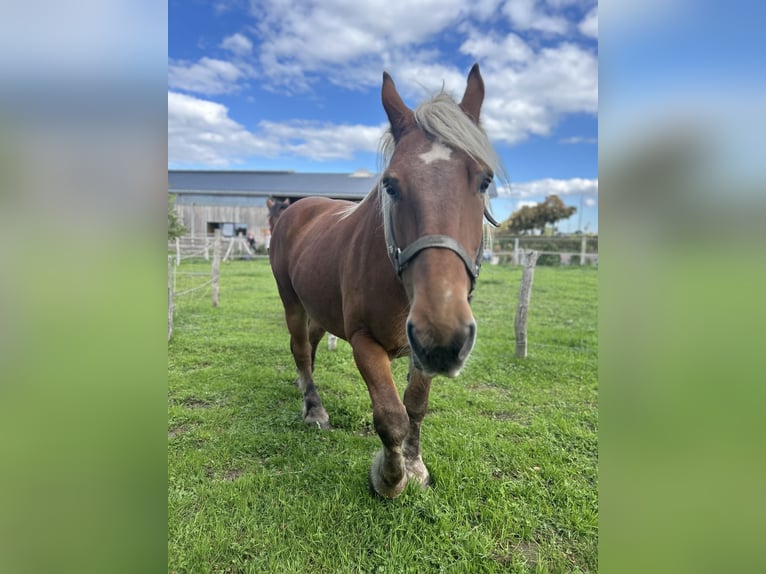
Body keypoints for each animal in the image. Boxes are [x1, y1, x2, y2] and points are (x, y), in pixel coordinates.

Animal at [269, 64, 505, 498]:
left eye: (484, 181)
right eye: (391, 184)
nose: (443, 337)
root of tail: (297, 207)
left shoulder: (419, 351)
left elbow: (415, 406)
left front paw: (415, 465)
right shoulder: (364, 341)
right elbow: (391, 415)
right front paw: (390, 478)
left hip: (319, 308)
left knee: (310, 344)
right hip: (290, 301)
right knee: (299, 348)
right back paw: (313, 408)